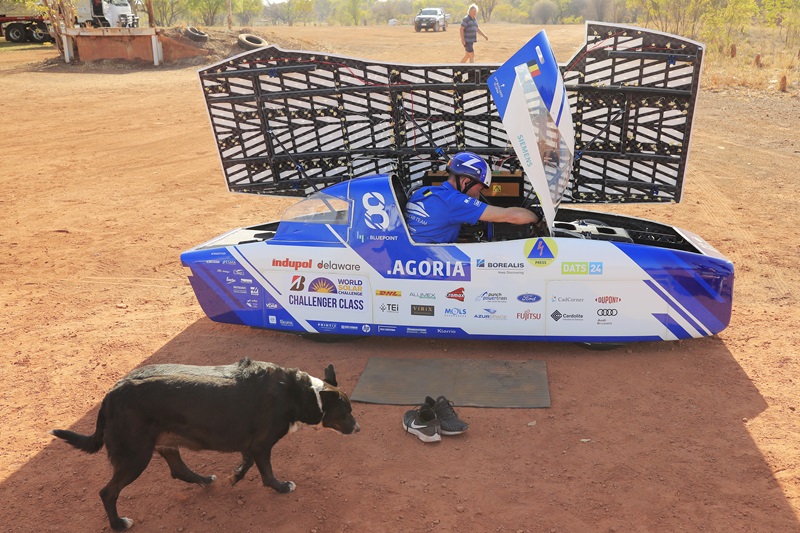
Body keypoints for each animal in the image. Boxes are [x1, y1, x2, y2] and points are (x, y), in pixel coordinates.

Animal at [52, 360, 360, 528]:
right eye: (345, 411)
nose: (358, 428)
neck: (299, 393)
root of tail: (110, 394)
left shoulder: (250, 445)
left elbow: (246, 463)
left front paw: (235, 476)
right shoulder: (261, 445)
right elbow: (267, 474)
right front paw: (282, 487)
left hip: (163, 444)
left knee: (179, 470)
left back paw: (204, 480)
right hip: (135, 456)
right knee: (107, 492)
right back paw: (118, 525)